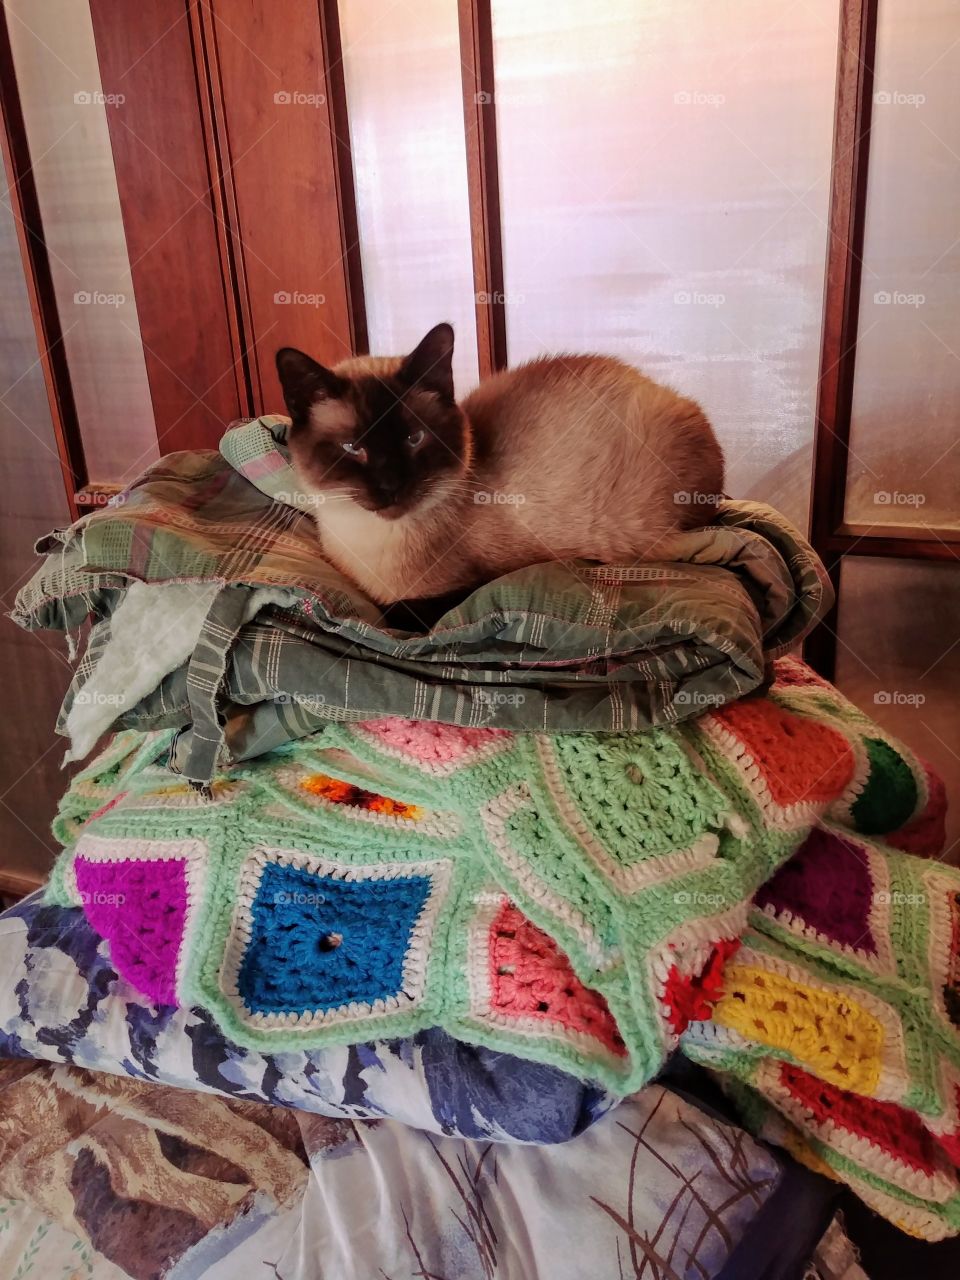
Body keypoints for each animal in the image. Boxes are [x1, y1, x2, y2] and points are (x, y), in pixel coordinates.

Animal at [277, 325, 727, 614]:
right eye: (353, 448)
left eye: (414, 439)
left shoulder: (469, 586)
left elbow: (393, 612)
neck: (369, 543)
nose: (391, 486)